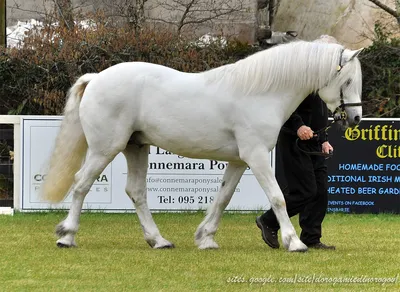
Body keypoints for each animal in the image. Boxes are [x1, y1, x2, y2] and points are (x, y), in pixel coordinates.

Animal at [40, 40, 362, 252]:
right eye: (347, 81)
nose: (356, 118)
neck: (261, 92)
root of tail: (96, 78)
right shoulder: (256, 156)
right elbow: (278, 197)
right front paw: (293, 242)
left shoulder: (239, 161)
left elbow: (223, 198)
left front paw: (206, 238)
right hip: (105, 149)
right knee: (81, 184)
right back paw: (66, 236)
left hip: (136, 147)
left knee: (136, 192)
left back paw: (158, 240)